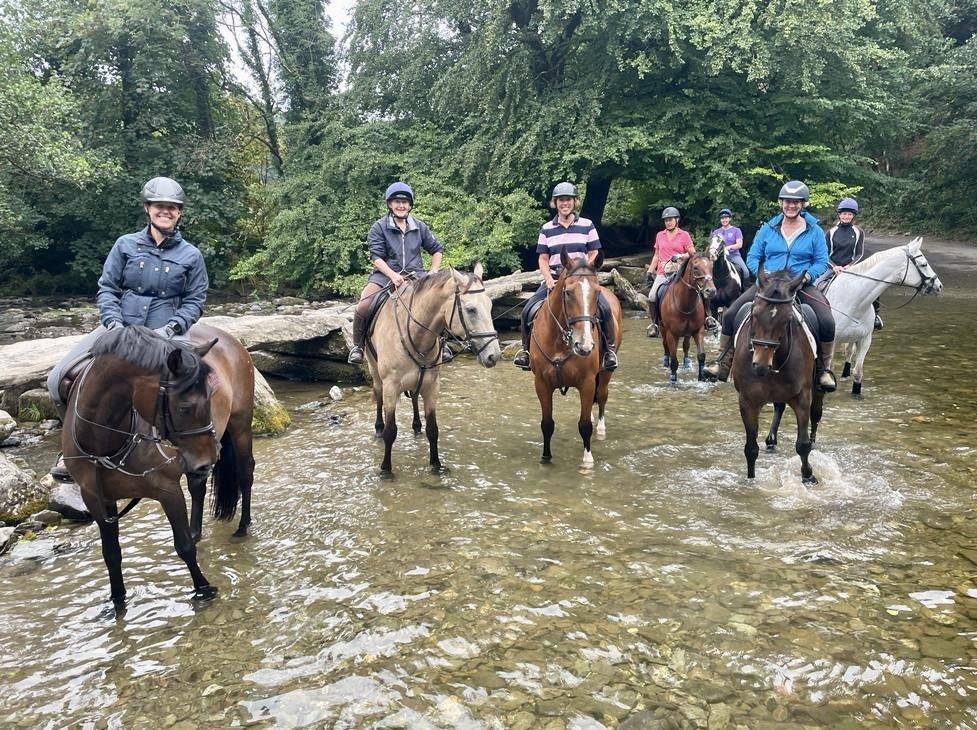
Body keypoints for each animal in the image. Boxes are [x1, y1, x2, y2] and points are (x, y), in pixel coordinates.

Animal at [61, 324, 255, 604]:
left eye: (211, 396)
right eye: (184, 407)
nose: (209, 458)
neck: (105, 442)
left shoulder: (167, 490)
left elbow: (183, 546)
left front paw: (203, 588)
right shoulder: (95, 499)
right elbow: (111, 555)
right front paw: (118, 601)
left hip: (239, 427)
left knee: (245, 473)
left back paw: (242, 527)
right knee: (197, 486)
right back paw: (197, 530)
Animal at [368, 264, 504, 474]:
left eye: (489, 306)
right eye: (471, 309)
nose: (493, 356)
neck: (414, 334)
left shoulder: (432, 385)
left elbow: (433, 429)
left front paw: (436, 464)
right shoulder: (391, 387)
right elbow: (391, 431)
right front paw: (385, 469)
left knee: (414, 397)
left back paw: (416, 426)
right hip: (375, 372)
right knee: (378, 395)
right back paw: (378, 429)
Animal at [528, 250, 620, 466]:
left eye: (596, 292)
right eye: (568, 292)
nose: (584, 345)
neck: (561, 342)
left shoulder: (586, 382)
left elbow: (584, 425)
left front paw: (587, 460)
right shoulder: (541, 383)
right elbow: (547, 423)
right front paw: (545, 457)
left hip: (606, 372)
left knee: (602, 395)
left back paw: (601, 427)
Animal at [656, 250, 716, 384]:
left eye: (711, 267)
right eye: (696, 268)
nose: (711, 291)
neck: (685, 303)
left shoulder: (698, 331)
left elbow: (701, 356)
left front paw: (701, 377)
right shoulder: (672, 334)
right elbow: (674, 361)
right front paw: (673, 381)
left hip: (688, 333)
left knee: (686, 345)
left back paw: (687, 363)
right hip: (663, 329)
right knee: (665, 345)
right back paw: (665, 362)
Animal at [732, 268, 824, 484]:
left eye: (787, 319)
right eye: (755, 313)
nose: (760, 365)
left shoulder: (802, 397)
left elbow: (802, 445)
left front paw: (808, 476)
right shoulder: (747, 401)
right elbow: (751, 449)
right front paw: (750, 481)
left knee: (816, 414)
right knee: (779, 407)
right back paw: (771, 440)